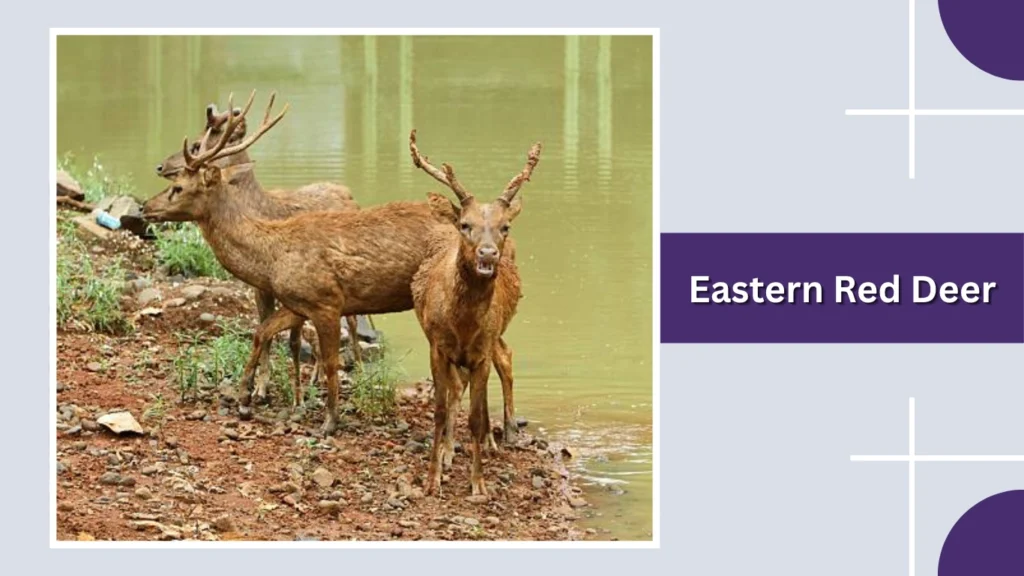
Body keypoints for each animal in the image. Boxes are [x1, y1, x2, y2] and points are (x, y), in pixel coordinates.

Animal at [154, 97, 365, 407]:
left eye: (197, 145)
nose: (160, 166)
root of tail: (350, 194)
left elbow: (286, 338)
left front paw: (279, 393)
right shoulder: (258, 286)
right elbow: (266, 329)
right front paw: (260, 387)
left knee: (351, 321)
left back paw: (358, 373)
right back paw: (317, 376)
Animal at [408, 132, 540, 497]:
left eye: (504, 226)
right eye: (466, 225)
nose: (488, 254)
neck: (463, 325)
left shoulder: (481, 347)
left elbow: (477, 417)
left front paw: (478, 484)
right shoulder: (437, 346)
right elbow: (440, 411)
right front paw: (432, 478)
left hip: (497, 333)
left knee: (504, 359)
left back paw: (506, 433)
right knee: (460, 386)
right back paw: (450, 452)